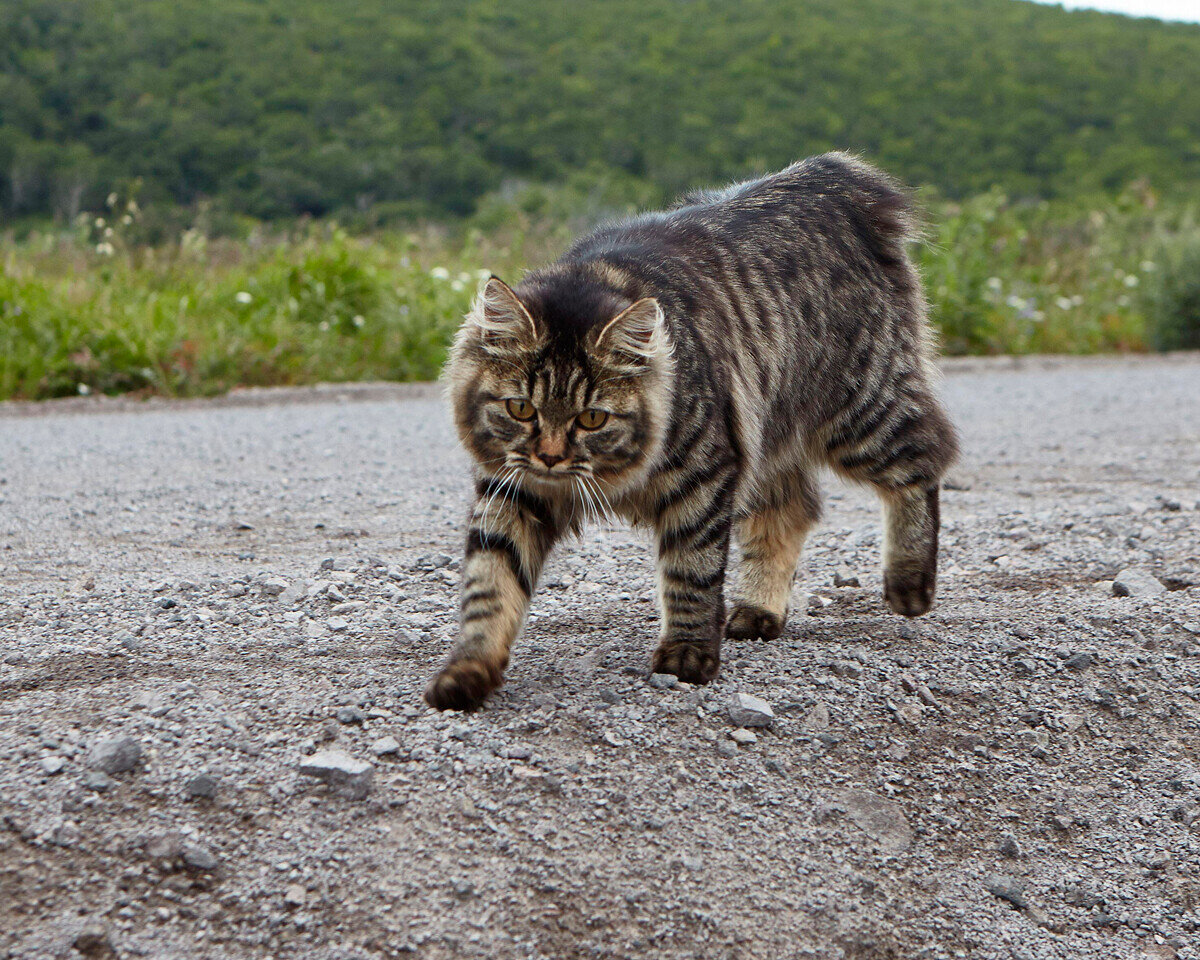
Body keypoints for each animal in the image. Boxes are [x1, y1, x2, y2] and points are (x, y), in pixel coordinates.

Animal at [427, 153, 960, 710]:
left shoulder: (702, 477)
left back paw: (909, 584)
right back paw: (758, 611)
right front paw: (467, 672)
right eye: (521, 409)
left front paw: (687, 656)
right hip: (770, 441)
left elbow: (691, 574)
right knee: (791, 513)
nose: (550, 457)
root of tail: (826, 176)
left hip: (861, 415)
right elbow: (489, 588)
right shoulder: (512, 492)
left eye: (592, 418)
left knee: (925, 460)